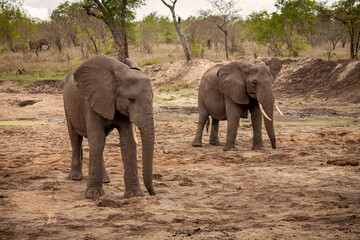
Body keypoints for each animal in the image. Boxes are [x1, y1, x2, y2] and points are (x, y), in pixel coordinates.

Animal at [63, 54, 156, 199]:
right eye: (131, 99)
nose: (152, 193)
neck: (121, 73)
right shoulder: (91, 101)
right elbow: (97, 139)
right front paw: (93, 196)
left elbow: (128, 142)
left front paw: (134, 195)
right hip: (67, 105)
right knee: (76, 139)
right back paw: (75, 177)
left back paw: (105, 180)